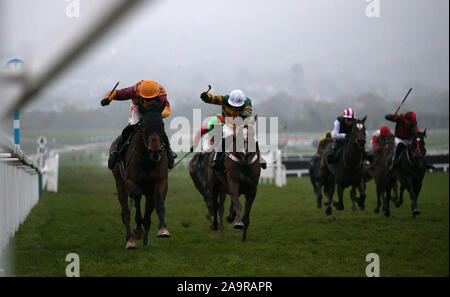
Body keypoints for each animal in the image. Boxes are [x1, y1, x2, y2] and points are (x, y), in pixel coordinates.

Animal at [110, 102, 171, 247]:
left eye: (162, 124)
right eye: (144, 125)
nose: (155, 150)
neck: (147, 160)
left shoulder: (160, 181)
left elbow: (159, 204)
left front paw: (163, 229)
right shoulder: (131, 181)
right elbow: (136, 198)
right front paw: (137, 230)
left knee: (147, 213)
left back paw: (145, 240)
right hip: (119, 181)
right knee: (126, 211)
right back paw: (130, 240)